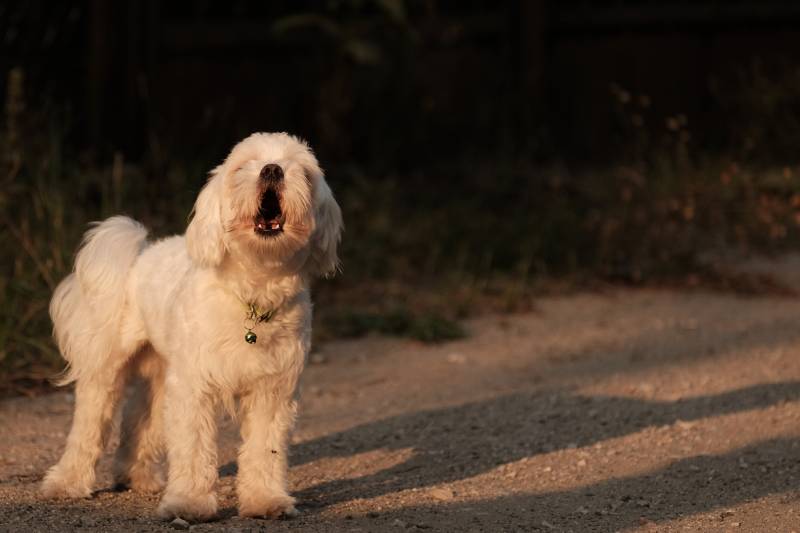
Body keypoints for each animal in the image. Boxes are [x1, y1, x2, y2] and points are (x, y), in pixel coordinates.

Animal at [41, 132, 340, 520]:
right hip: (110, 369)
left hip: (162, 371)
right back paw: (67, 482)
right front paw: (190, 503)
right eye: (243, 166)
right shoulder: (195, 388)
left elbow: (265, 451)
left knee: (141, 420)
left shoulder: (272, 392)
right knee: (91, 422)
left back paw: (137, 477)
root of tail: (140, 254)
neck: (252, 294)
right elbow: (194, 449)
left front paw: (265, 500)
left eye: (302, 171)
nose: (272, 169)